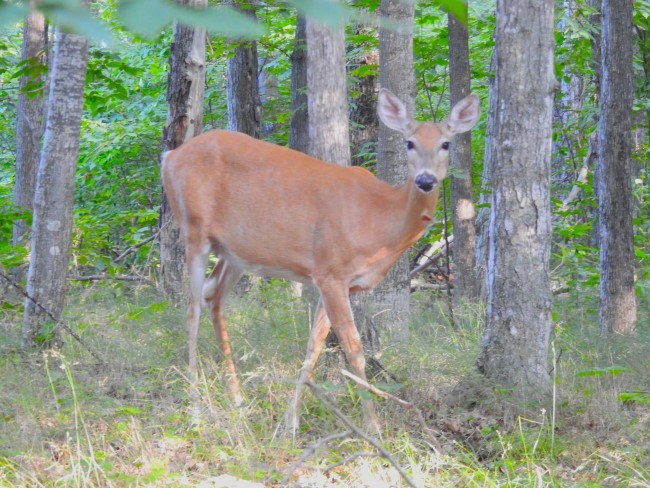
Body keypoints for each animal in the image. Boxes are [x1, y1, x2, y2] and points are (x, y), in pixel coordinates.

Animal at [161, 88, 480, 433]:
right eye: (409, 142)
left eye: (446, 143)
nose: (425, 180)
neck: (380, 219)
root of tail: (170, 157)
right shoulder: (330, 270)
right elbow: (355, 351)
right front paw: (372, 428)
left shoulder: (336, 280)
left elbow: (313, 346)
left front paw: (290, 423)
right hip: (194, 228)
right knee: (191, 308)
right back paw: (195, 409)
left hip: (235, 252)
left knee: (213, 296)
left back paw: (237, 398)